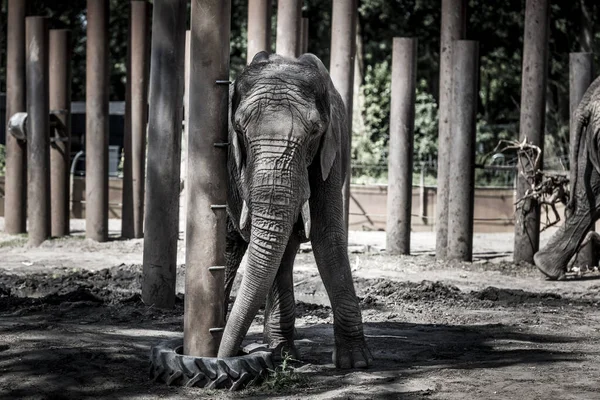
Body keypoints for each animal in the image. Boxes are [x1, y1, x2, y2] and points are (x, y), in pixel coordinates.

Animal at [218, 52, 372, 368]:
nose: (221, 361)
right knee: (232, 246)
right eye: (239, 130)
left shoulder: (331, 150)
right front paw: (280, 354)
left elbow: (328, 237)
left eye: (314, 132)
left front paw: (355, 362)